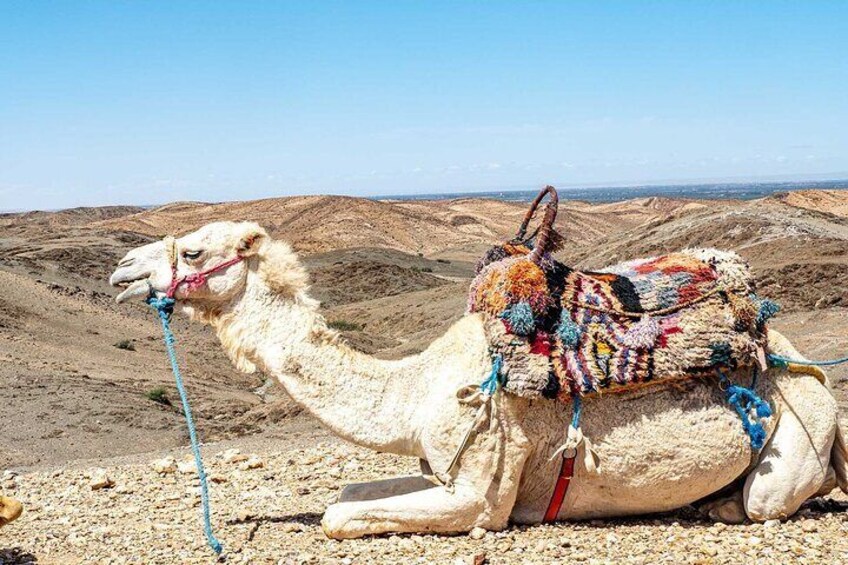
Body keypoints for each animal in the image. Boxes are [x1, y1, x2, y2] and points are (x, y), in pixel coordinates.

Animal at [109, 220, 848, 536]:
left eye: (193, 250)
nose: (121, 271)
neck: (411, 391)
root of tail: (808, 370)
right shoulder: (439, 463)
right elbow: (351, 489)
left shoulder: (480, 491)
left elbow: (339, 515)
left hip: (795, 432)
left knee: (766, 500)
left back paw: (717, 506)